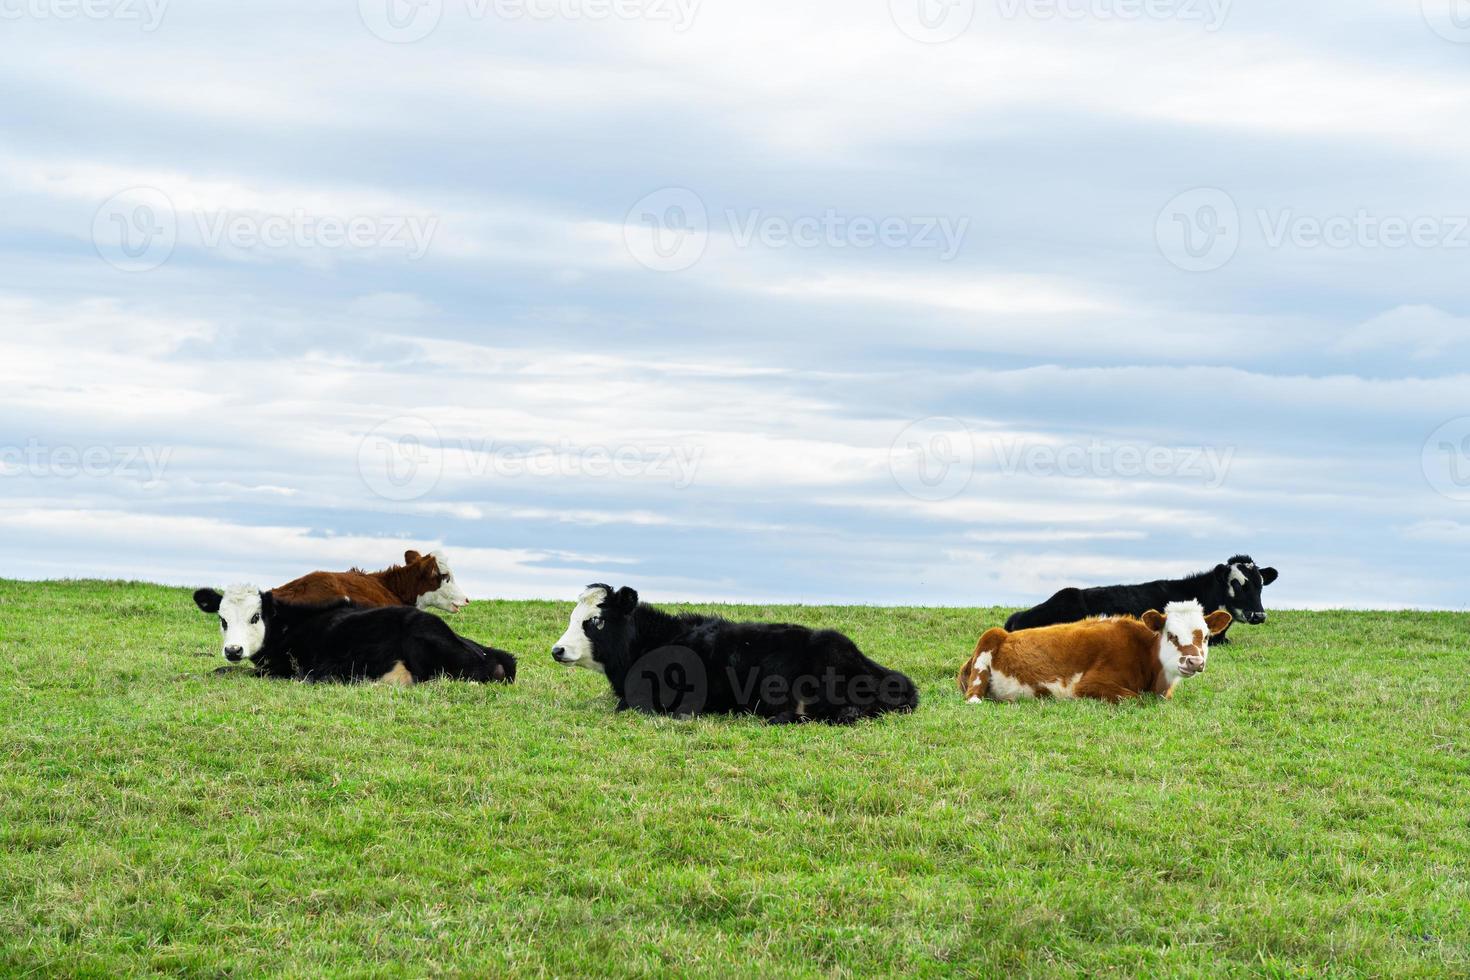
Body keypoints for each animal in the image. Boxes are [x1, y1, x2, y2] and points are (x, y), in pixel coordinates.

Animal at [952, 599, 1228, 705]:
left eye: (1205, 636)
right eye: (1171, 635)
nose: (1194, 661)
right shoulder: (1088, 685)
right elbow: (1134, 698)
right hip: (988, 640)